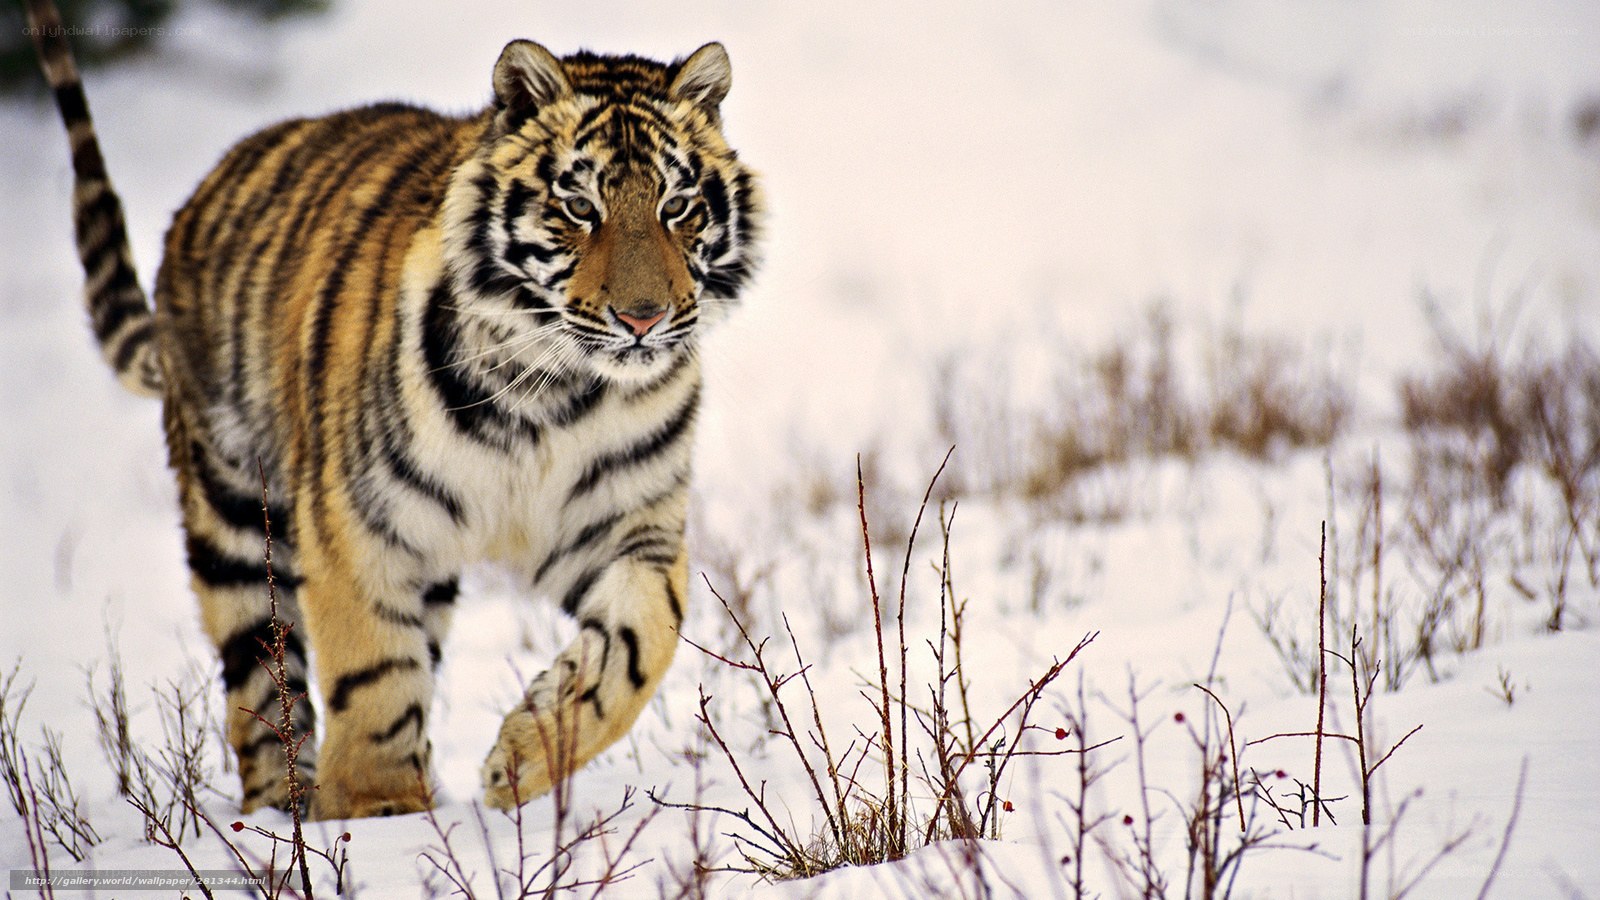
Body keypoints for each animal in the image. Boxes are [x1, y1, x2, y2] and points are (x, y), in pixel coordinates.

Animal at [23, 0, 762, 819]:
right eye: (579, 207)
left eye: (677, 207)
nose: (643, 318)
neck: (554, 392)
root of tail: (206, 189)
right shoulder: (359, 523)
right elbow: (374, 672)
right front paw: (383, 813)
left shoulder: (628, 524)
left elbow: (641, 642)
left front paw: (522, 759)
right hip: (235, 519)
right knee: (261, 687)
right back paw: (282, 814)